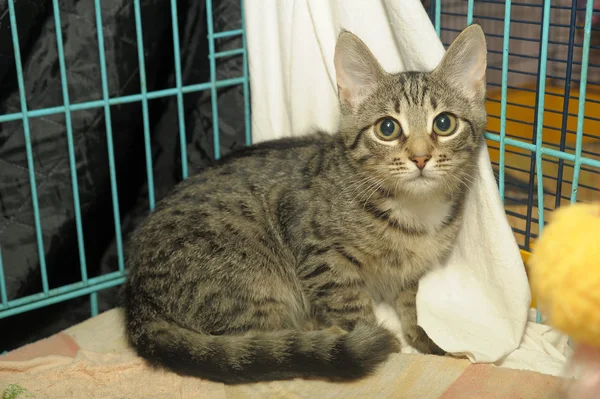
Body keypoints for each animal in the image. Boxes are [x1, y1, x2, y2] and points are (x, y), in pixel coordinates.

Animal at [122, 24, 488, 384]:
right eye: (387, 128)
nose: (421, 157)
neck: (413, 208)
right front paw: (382, 343)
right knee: (256, 338)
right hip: (254, 279)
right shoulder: (320, 255)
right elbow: (351, 307)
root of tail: (136, 295)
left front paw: (425, 340)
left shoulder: (412, 272)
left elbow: (412, 307)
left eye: (444, 123)